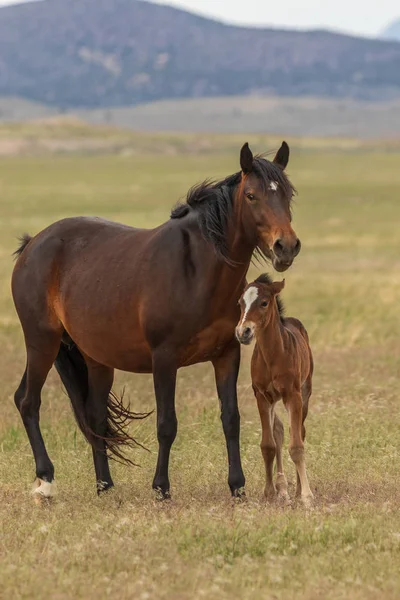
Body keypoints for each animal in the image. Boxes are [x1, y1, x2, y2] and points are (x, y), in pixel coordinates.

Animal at [236, 276, 314, 506]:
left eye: (264, 302)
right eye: (240, 303)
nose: (243, 332)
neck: (272, 356)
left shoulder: (292, 395)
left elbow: (296, 445)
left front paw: (306, 496)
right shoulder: (262, 396)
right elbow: (268, 445)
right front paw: (269, 492)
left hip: (305, 392)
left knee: (300, 432)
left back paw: (296, 490)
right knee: (278, 429)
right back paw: (282, 489)